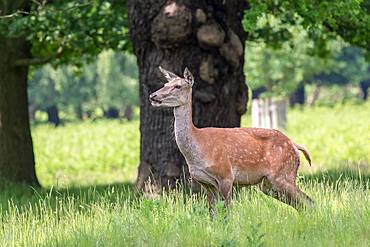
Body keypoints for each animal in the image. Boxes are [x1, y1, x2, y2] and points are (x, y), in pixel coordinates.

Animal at [149, 66, 314, 213]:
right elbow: (213, 215)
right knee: (302, 205)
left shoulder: (226, 176)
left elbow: (226, 214)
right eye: (164, 85)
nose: (153, 96)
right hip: (267, 184)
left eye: (177, 86)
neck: (198, 146)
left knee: (308, 202)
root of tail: (294, 145)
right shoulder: (205, 183)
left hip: (283, 173)